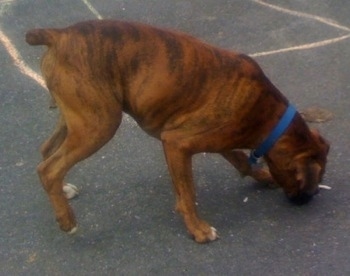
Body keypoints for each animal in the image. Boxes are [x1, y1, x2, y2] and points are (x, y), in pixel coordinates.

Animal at [26, 20, 330, 243]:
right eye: (311, 181)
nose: (308, 199)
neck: (270, 117)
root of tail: (60, 34)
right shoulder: (177, 144)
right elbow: (188, 194)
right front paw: (198, 229)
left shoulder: (220, 139)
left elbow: (242, 162)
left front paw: (263, 176)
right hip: (100, 125)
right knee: (49, 168)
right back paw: (67, 221)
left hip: (78, 118)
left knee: (46, 151)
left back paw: (64, 191)